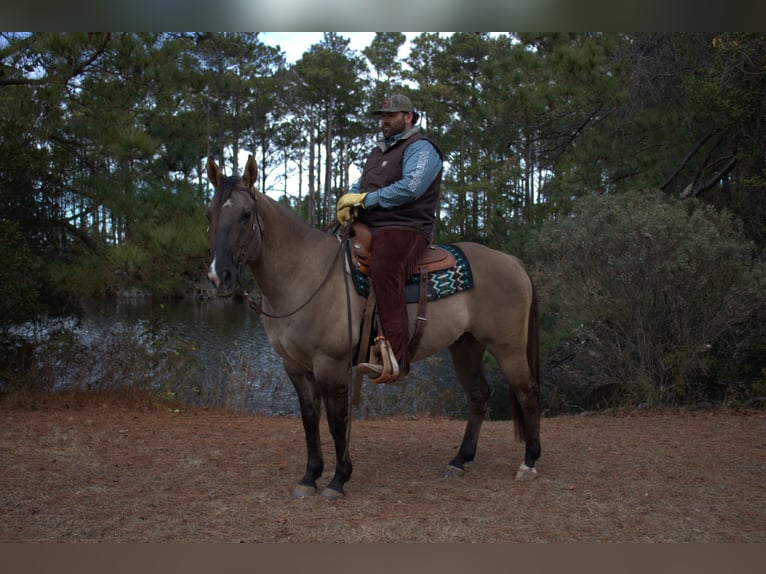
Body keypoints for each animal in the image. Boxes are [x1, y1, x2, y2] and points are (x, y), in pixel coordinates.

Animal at [205, 154, 541, 500]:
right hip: (465, 346)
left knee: (527, 393)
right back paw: (460, 460)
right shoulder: (296, 367)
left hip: (508, 348)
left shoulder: (331, 364)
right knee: (478, 395)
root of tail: (513, 262)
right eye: (209, 213)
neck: (305, 274)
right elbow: (310, 421)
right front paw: (310, 477)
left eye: (246, 214)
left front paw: (338, 479)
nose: (220, 276)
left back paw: (528, 462)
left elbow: (337, 421)